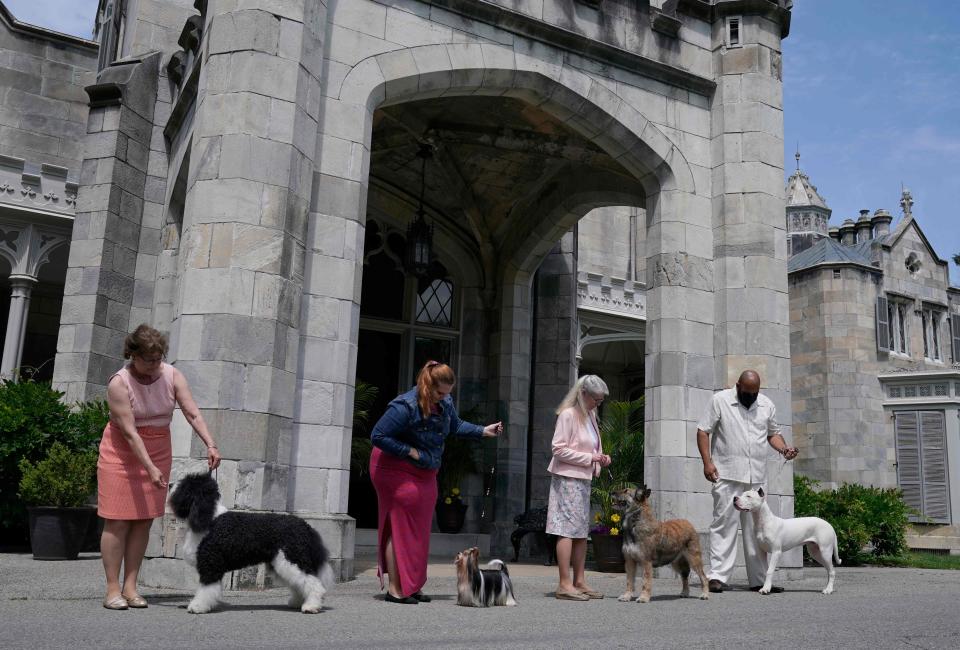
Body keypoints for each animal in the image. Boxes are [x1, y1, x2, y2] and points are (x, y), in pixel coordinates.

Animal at [171, 470, 336, 612]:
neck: (210, 519)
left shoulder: (211, 565)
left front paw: (197, 607)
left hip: (292, 558)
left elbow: (205, 589)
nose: (170, 484)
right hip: (281, 563)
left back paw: (311, 606)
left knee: (313, 583)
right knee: (298, 584)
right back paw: (297, 602)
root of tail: (306, 527)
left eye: (185, 486)